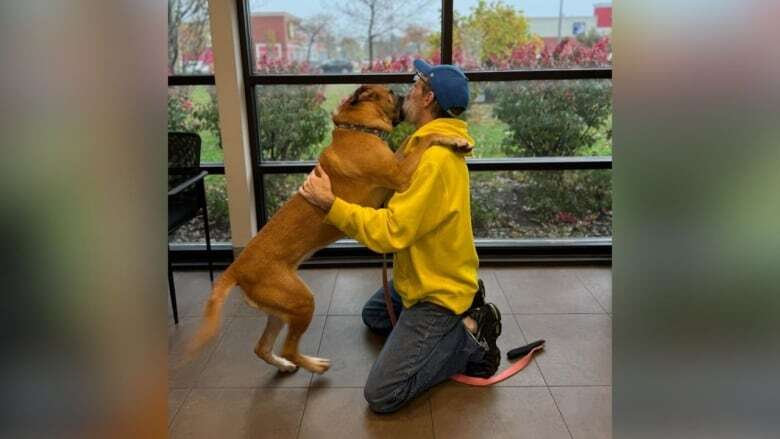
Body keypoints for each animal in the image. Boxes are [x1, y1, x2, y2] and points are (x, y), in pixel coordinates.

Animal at [186, 85, 472, 374]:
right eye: (391, 92)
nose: (404, 93)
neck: (357, 128)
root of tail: (236, 268)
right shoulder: (401, 174)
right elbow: (425, 139)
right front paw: (453, 139)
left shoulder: (396, 164)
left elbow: (410, 142)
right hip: (302, 301)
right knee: (288, 348)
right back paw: (314, 366)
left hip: (280, 310)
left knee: (262, 347)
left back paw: (285, 365)